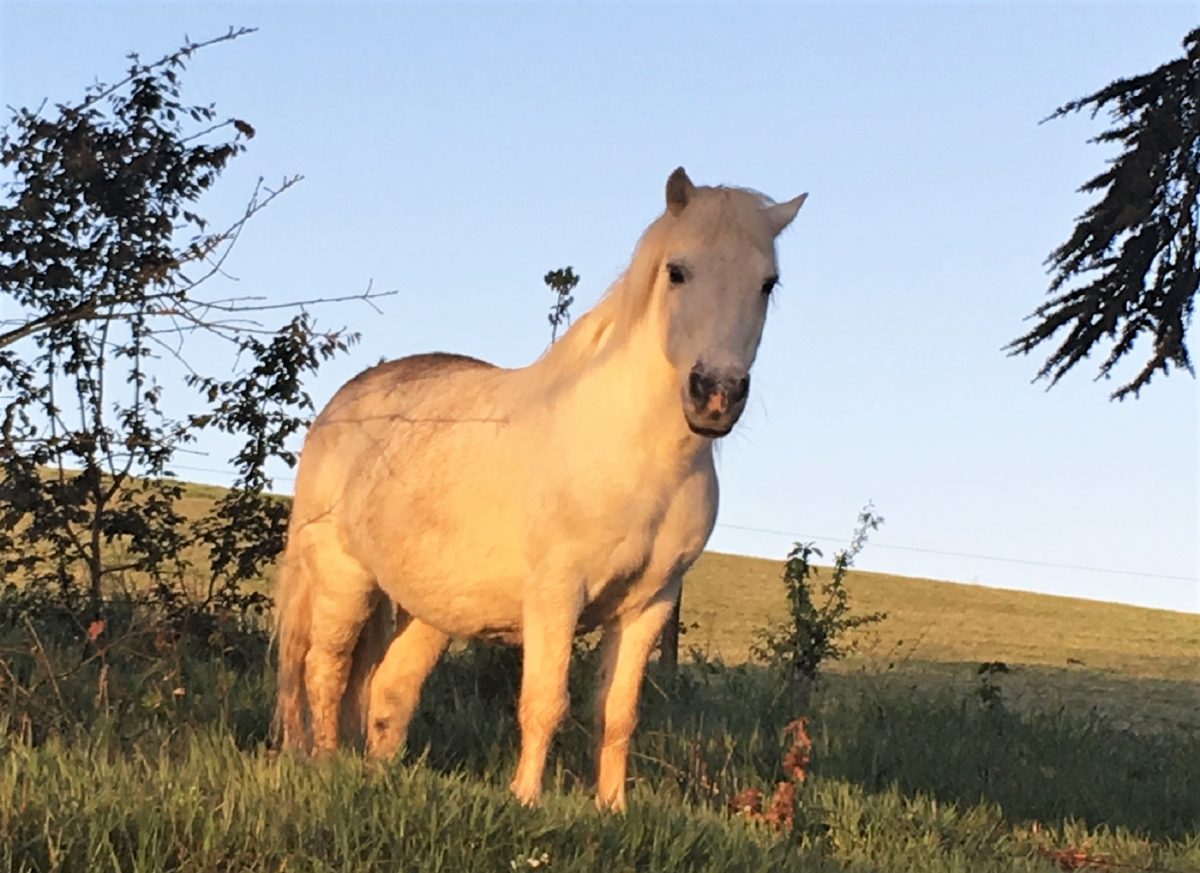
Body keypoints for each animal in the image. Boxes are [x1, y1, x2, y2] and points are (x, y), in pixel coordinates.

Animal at [274, 167, 806, 810]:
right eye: (678, 271)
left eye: (767, 284)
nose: (717, 395)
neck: (637, 455)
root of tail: (342, 404)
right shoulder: (556, 595)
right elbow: (545, 703)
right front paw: (525, 799)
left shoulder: (650, 605)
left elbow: (617, 715)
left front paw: (612, 808)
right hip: (343, 577)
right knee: (323, 669)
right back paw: (324, 763)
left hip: (430, 610)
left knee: (389, 689)